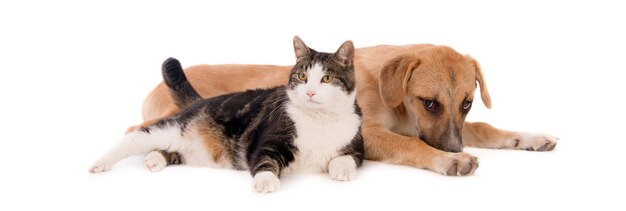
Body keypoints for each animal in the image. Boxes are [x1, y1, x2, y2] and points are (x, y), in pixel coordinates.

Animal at [87, 36, 360, 193]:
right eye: (302, 76)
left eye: (326, 79)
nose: (311, 92)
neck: (319, 121)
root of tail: (201, 101)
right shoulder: (268, 141)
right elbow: (264, 160)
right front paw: (265, 181)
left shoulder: (356, 145)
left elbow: (347, 159)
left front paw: (342, 171)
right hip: (174, 128)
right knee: (135, 137)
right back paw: (100, 163)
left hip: (187, 145)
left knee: (170, 150)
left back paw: (155, 159)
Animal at [132, 42, 556, 175]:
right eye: (429, 103)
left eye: (468, 103)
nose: (451, 148)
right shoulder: (368, 133)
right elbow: (413, 145)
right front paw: (449, 160)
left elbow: (485, 128)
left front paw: (528, 137)